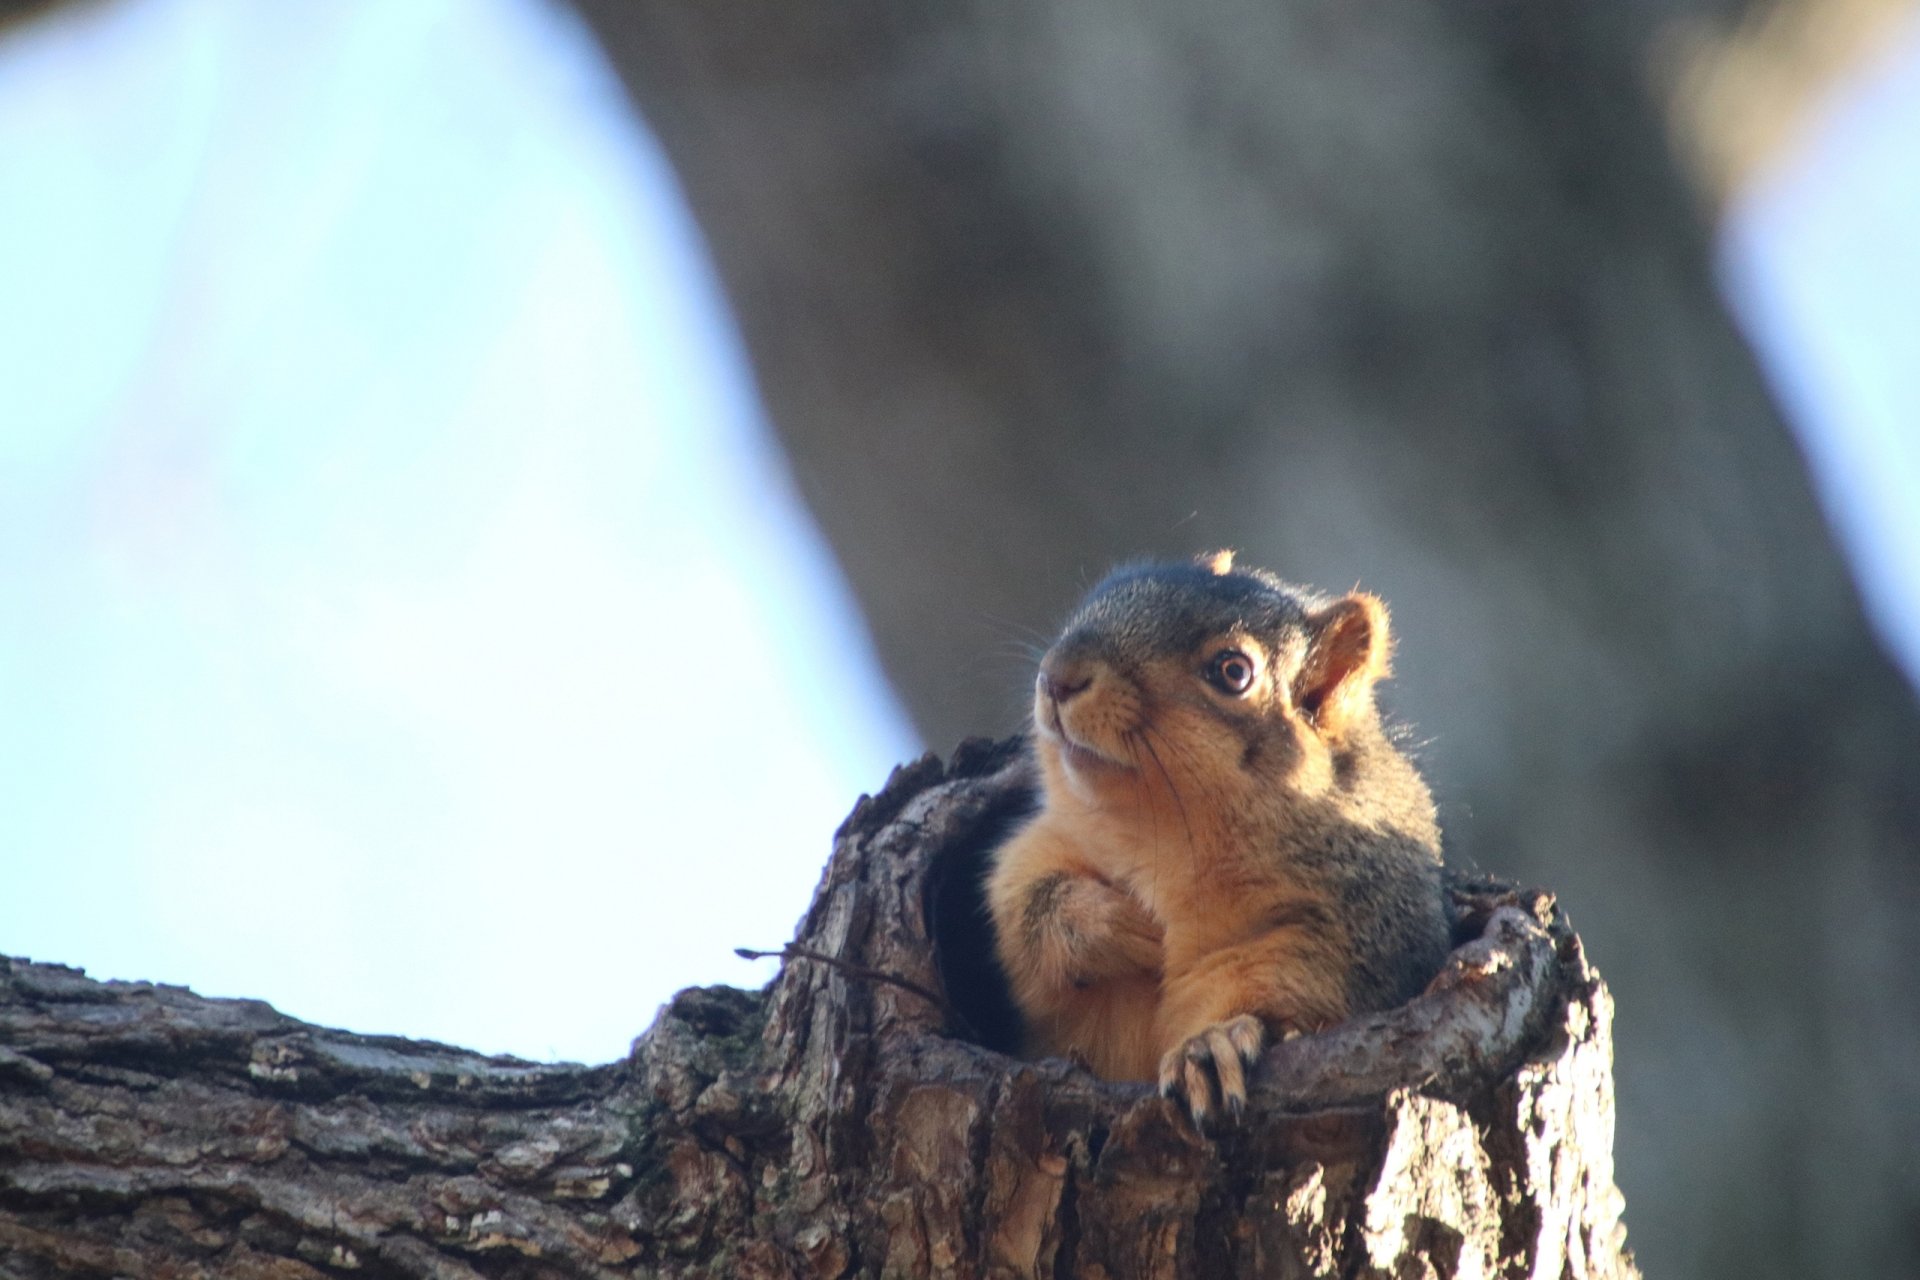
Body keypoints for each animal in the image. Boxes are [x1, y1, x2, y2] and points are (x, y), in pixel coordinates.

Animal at [986, 551, 1450, 1126]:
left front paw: (1210, 1045)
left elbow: (1288, 999)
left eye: (1233, 672)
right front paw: (1119, 925)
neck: (1158, 837)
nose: (1058, 676)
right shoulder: (1042, 845)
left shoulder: (1341, 934)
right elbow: (1022, 907)